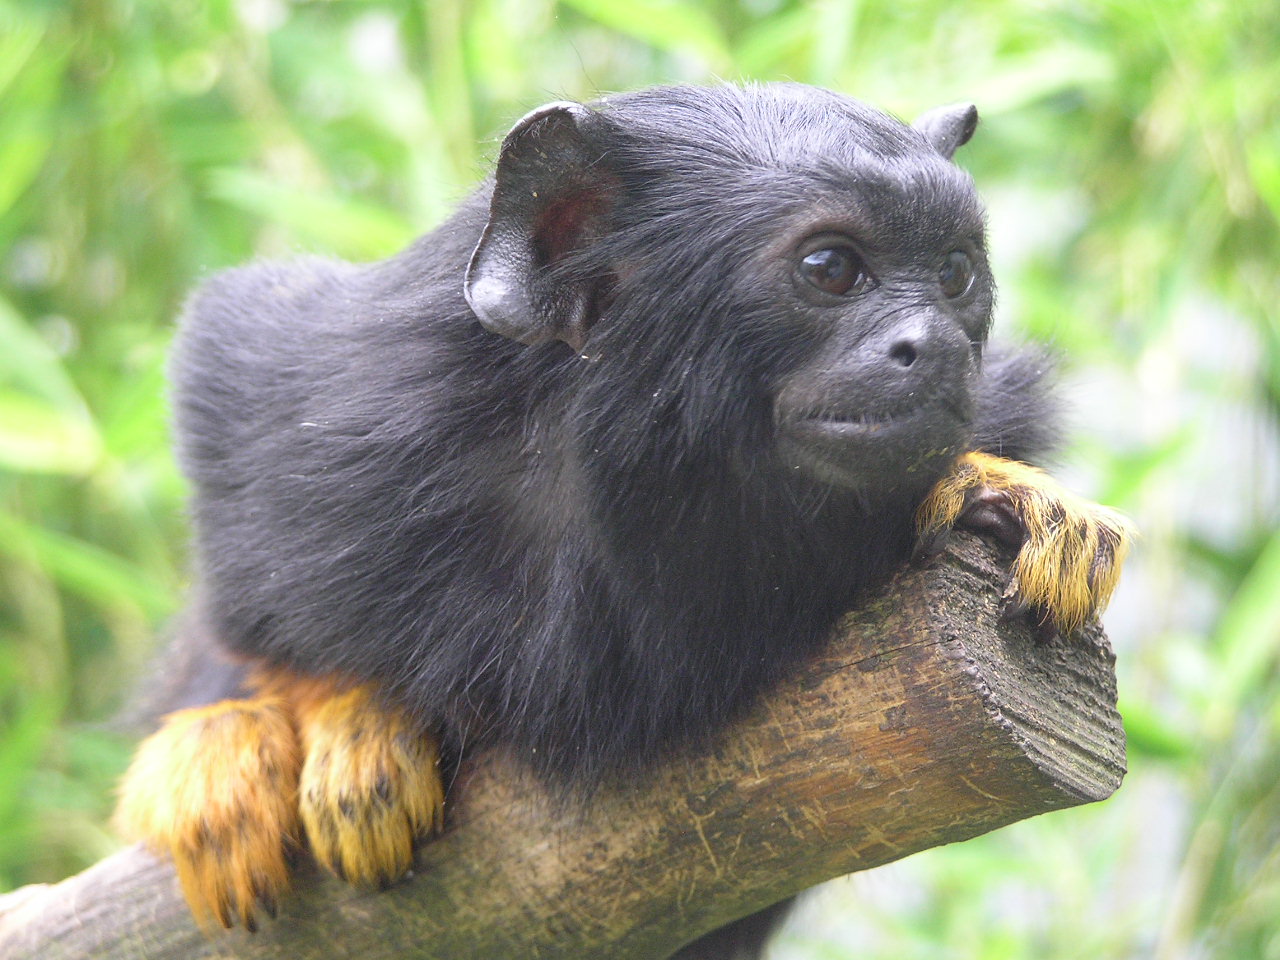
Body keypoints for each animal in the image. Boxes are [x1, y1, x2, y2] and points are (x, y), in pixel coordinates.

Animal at [115, 86, 1126, 957]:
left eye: (955, 276)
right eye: (831, 269)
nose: (938, 347)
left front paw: (991, 489)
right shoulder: (333, 422)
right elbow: (255, 602)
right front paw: (339, 716)